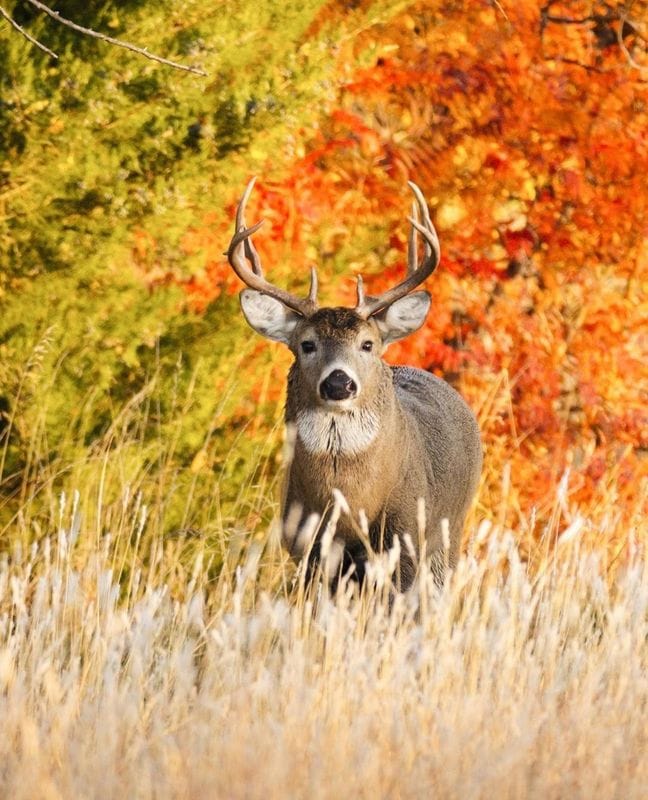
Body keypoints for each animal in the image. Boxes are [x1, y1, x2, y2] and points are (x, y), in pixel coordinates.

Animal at [226, 179, 482, 590]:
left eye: (367, 344)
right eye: (307, 344)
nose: (339, 382)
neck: (348, 505)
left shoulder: (406, 539)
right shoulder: (308, 547)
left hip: (449, 533)